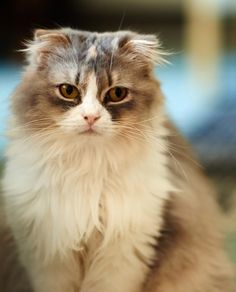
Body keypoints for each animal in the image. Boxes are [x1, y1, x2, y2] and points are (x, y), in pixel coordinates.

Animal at [0, 28, 234, 292]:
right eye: (69, 91)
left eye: (117, 94)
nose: (90, 117)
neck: (87, 165)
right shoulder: (50, 253)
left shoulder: (123, 252)